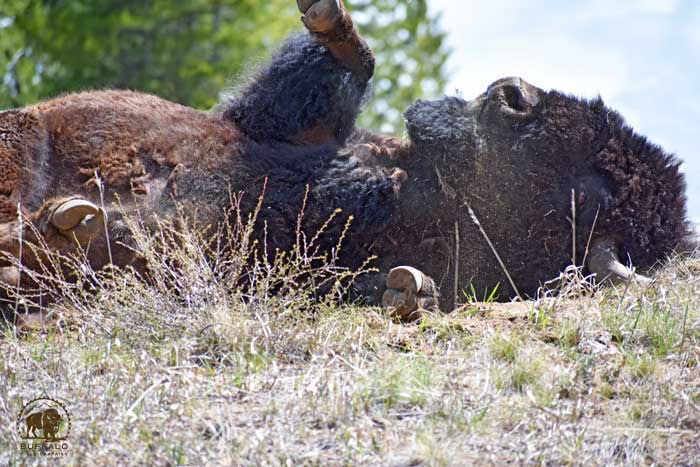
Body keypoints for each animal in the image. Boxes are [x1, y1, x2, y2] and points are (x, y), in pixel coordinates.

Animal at [0, 0, 690, 319]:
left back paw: (64, 230)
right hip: (23, 138)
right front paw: (330, 17)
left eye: (581, 189)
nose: (512, 94)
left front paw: (411, 289)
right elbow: (349, 66)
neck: (401, 189)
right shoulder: (275, 126)